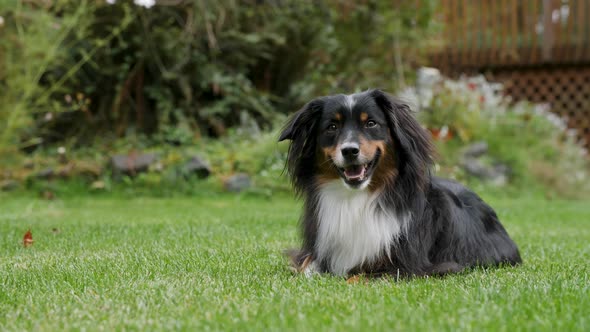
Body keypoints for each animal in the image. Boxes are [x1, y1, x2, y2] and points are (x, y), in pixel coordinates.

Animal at [280, 89, 524, 278]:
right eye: (332, 127)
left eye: (371, 123)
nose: (349, 150)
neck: (357, 198)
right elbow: (305, 267)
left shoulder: (409, 266)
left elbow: (357, 275)